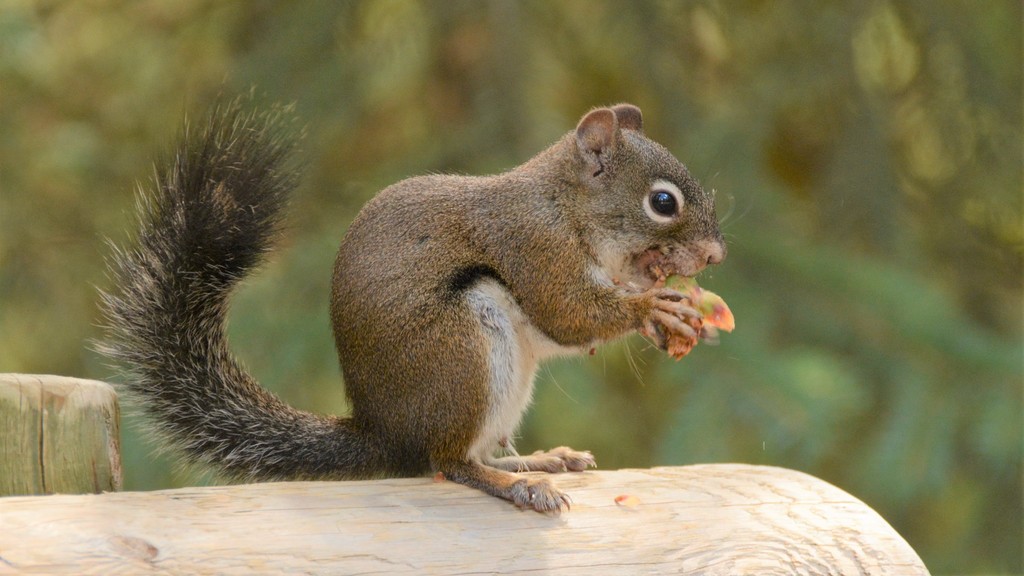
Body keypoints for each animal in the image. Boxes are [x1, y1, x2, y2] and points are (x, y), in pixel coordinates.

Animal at [99, 99, 726, 513]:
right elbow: (568, 314)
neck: (566, 206)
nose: (715, 255)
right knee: (447, 461)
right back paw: (516, 485)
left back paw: (540, 461)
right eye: (662, 202)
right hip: (461, 352)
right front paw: (652, 310)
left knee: (465, 455)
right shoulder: (534, 247)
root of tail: (383, 432)